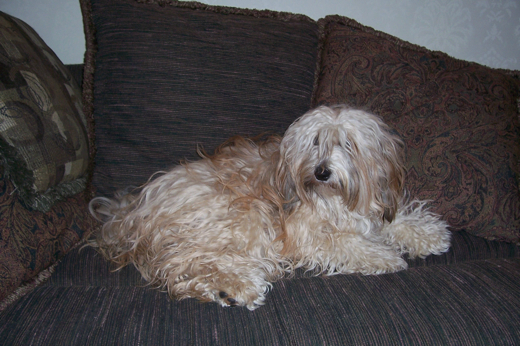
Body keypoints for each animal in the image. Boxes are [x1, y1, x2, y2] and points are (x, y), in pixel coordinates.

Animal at [89, 104, 450, 310]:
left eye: (347, 144)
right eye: (315, 141)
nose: (321, 172)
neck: (334, 199)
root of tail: (131, 212)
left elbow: (392, 221)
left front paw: (428, 235)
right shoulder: (304, 234)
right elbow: (344, 242)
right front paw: (385, 256)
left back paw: (223, 291)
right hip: (238, 216)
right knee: (178, 266)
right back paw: (237, 287)